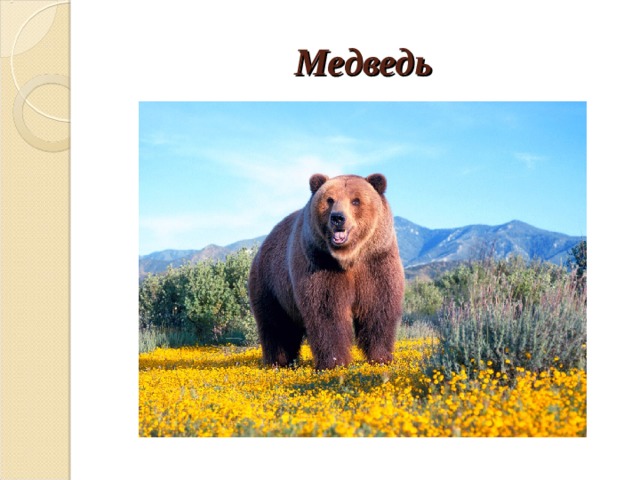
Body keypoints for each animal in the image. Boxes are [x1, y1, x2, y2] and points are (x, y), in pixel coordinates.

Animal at [248, 173, 404, 370]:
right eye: (330, 200)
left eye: (356, 200)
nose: (338, 218)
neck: (349, 258)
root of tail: (263, 245)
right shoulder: (320, 263)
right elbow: (327, 311)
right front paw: (335, 362)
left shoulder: (376, 262)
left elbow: (378, 308)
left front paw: (381, 358)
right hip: (271, 284)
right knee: (276, 325)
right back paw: (278, 362)